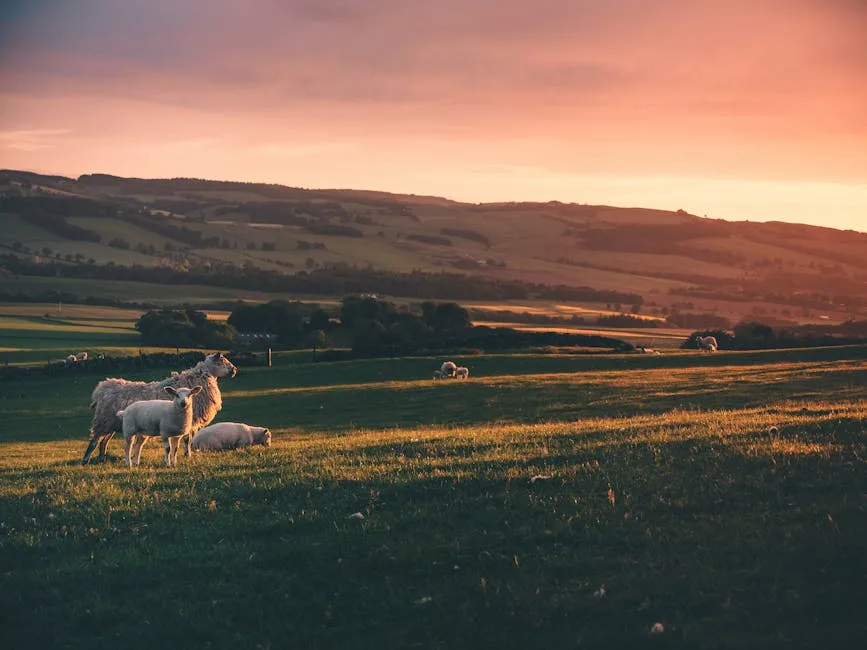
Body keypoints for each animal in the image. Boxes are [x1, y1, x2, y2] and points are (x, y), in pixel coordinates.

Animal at [82, 352, 237, 464]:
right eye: (222, 360)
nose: (235, 370)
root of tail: (102, 388)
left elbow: (185, 440)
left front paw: (183, 456)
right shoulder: (188, 420)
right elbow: (187, 440)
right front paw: (187, 456)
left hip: (111, 423)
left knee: (103, 442)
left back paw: (102, 459)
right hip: (103, 420)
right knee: (95, 440)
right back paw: (86, 460)